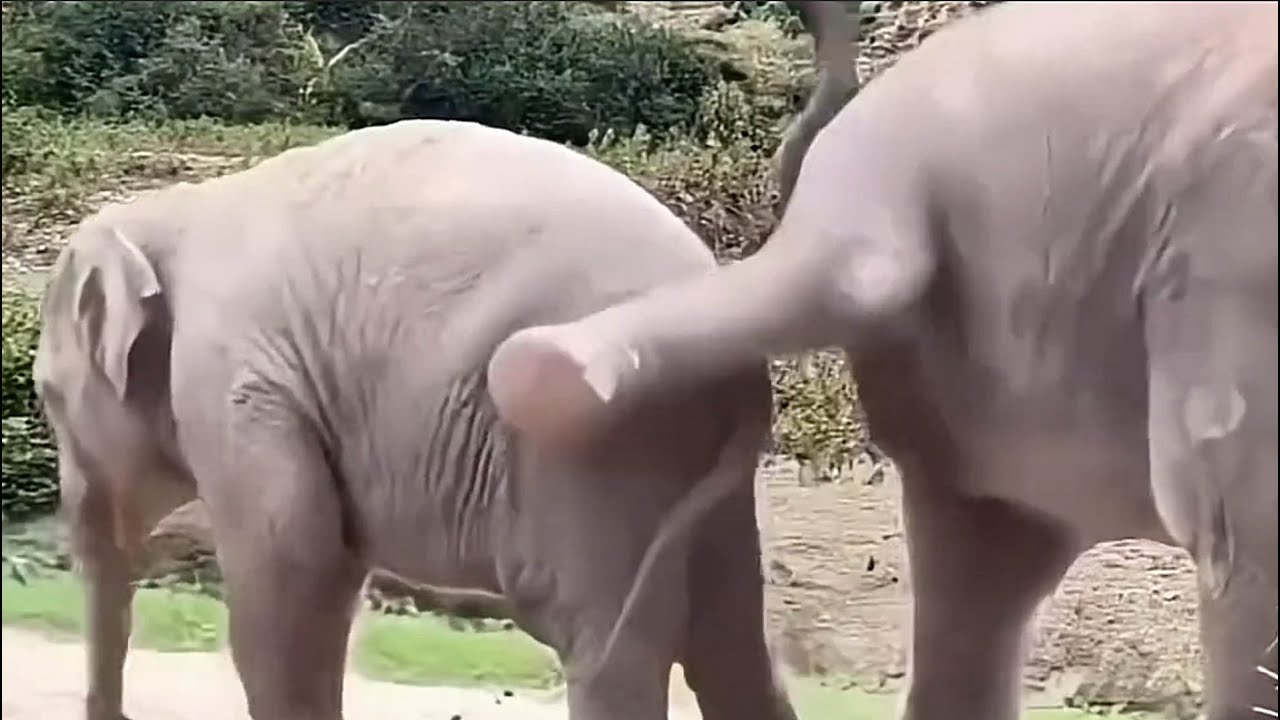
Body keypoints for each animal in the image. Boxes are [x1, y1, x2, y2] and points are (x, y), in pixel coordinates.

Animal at [33, 119, 796, 720]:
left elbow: (289, 571)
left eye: (45, 394)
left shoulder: (232, 383)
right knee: (730, 646)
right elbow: (330, 576)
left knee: (607, 646)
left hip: (598, 440)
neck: (170, 212)